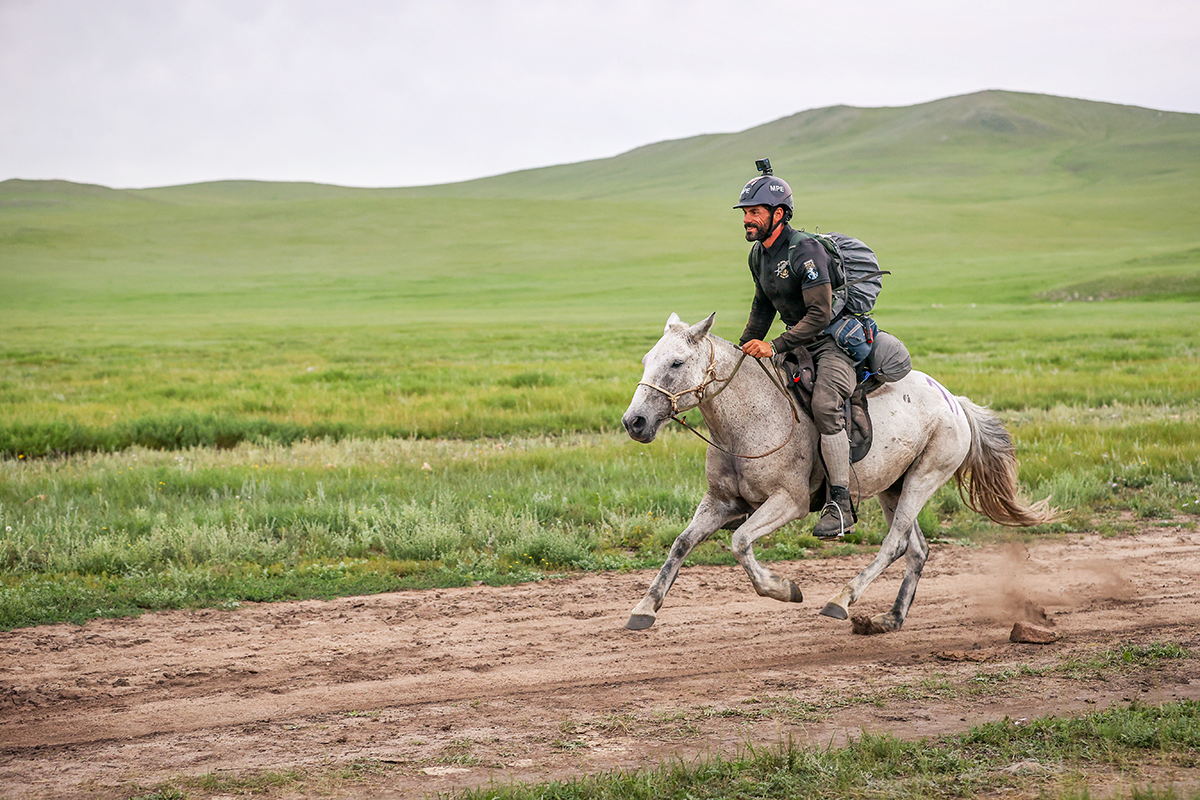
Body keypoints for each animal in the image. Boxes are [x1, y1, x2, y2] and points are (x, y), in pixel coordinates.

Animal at [624, 311, 1056, 633]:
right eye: (645, 361)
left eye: (677, 362)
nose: (634, 422)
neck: (750, 418)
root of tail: (954, 400)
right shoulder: (721, 502)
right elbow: (681, 543)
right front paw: (644, 608)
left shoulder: (789, 502)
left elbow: (741, 542)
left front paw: (785, 589)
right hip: (894, 487)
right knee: (916, 549)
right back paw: (890, 618)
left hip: (924, 479)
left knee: (894, 544)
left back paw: (841, 600)